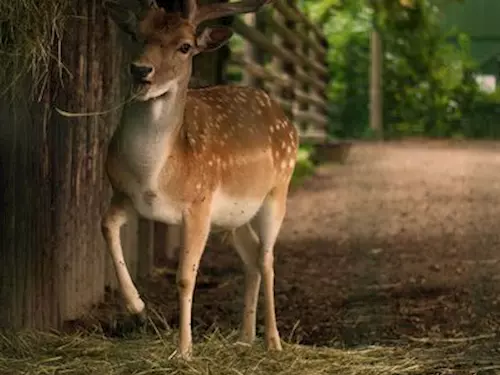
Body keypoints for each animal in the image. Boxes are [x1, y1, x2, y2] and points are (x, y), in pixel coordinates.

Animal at [100, 0, 296, 360]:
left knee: (267, 259)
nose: (140, 70)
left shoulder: (199, 204)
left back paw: (273, 341)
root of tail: (286, 118)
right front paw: (137, 306)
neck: (153, 175)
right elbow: (106, 226)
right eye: (136, 34)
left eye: (185, 46)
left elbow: (184, 278)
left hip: (277, 192)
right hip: (233, 218)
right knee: (251, 259)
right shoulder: (124, 195)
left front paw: (185, 350)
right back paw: (245, 337)